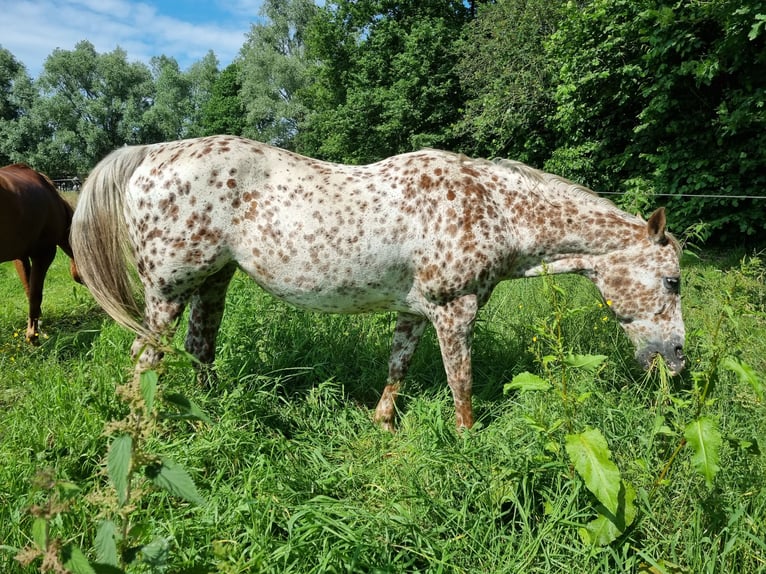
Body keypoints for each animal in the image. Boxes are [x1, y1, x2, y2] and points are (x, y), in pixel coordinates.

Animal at [69, 136, 688, 432]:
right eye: (673, 280)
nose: (679, 361)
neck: (493, 209)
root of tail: (150, 154)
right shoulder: (455, 310)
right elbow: (461, 383)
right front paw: (467, 440)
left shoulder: (415, 311)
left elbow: (399, 366)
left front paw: (383, 422)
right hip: (166, 293)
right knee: (146, 360)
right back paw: (148, 431)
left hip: (213, 281)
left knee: (200, 348)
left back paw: (209, 415)